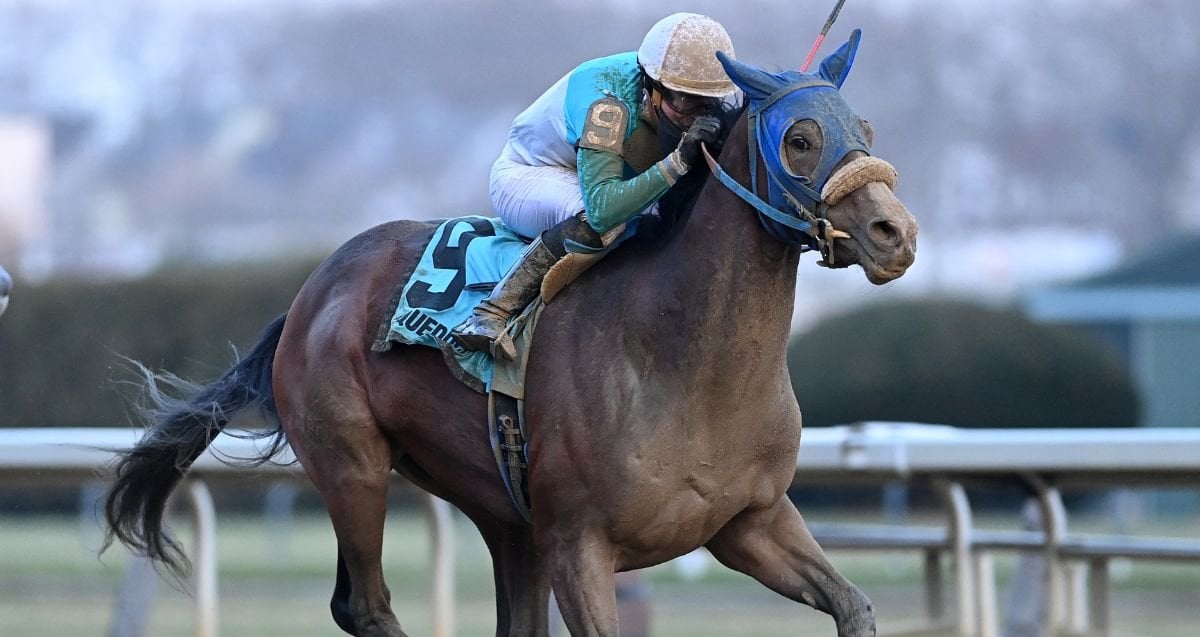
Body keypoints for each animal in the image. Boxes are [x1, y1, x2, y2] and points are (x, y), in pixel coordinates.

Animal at [104, 33, 916, 637]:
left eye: (867, 130)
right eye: (802, 138)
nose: (895, 233)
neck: (686, 364)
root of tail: (310, 293)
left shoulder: (750, 521)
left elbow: (855, 605)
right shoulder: (579, 543)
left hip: (505, 518)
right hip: (353, 466)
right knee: (364, 603)